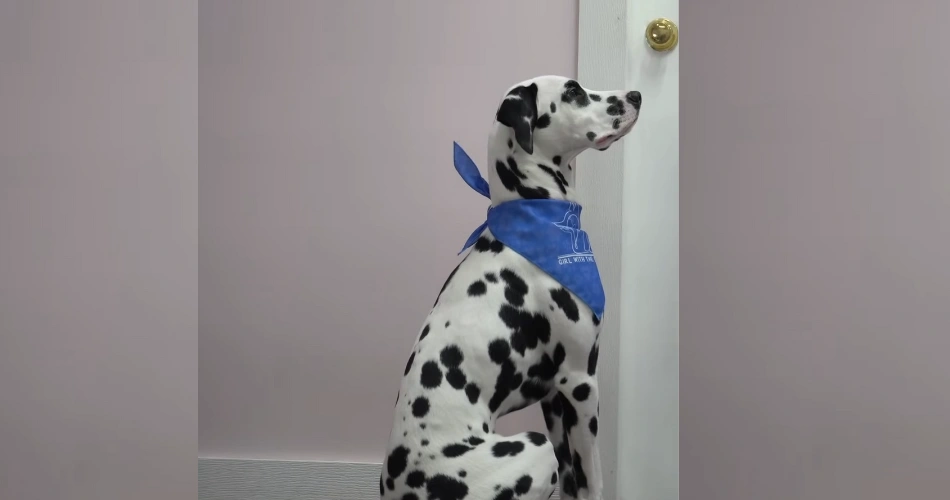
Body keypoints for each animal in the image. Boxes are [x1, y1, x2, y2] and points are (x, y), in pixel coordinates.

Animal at [384, 75, 644, 500]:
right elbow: (592, 479)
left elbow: (573, 481)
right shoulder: (581, 383)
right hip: (534, 448)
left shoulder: (555, 398)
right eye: (574, 92)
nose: (635, 95)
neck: (537, 214)